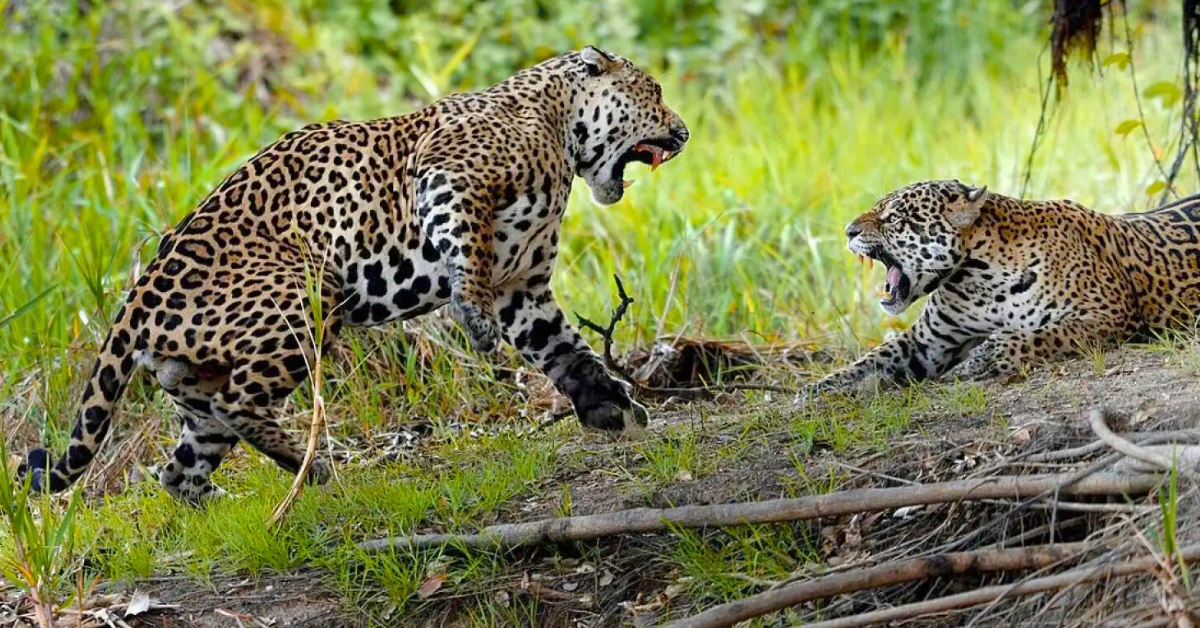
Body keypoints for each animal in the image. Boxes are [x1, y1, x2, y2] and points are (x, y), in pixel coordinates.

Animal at [19, 46, 689, 502]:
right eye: (653, 90)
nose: (682, 133)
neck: (560, 133)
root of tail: (137, 296)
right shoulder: (448, 174)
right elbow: (467, 253)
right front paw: (474, 323)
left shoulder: (521, 286)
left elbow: (566, 349)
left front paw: (608, 403)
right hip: (307, 296)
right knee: (240, 403)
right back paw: (318, 469)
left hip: (194, 384)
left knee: (181, 467)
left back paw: (234, 505)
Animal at [804, 179, 1200, 398]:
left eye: (894, 218)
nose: (848, 231)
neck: (977, 280)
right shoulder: (928, 341)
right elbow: (872, 359)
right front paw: (817, 390)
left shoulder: (1110, 314)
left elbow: (1040, 334)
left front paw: (983, 358)